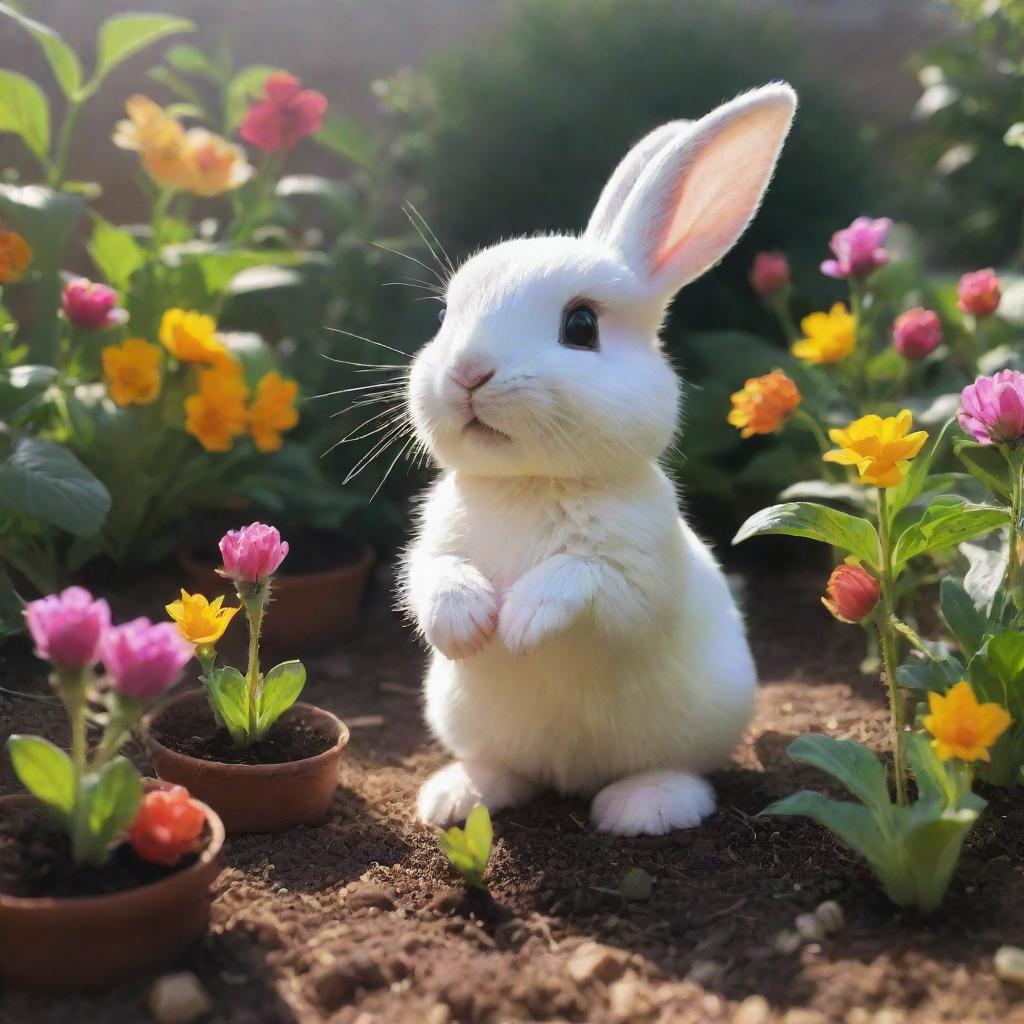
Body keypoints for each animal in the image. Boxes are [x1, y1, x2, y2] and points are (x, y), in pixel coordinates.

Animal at [403, 83, 794, 835]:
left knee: (675, 771)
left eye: (581, 326)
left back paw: (644, 809)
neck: (532, 482)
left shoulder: (638, 575)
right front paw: (469, 624)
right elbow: (433, 577)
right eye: (442, 318)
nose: (467, 372)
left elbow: (584, 581)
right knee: (505, 769)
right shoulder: (435, 545)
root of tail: (570, 777)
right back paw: (460, 796)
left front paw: (520, 622)